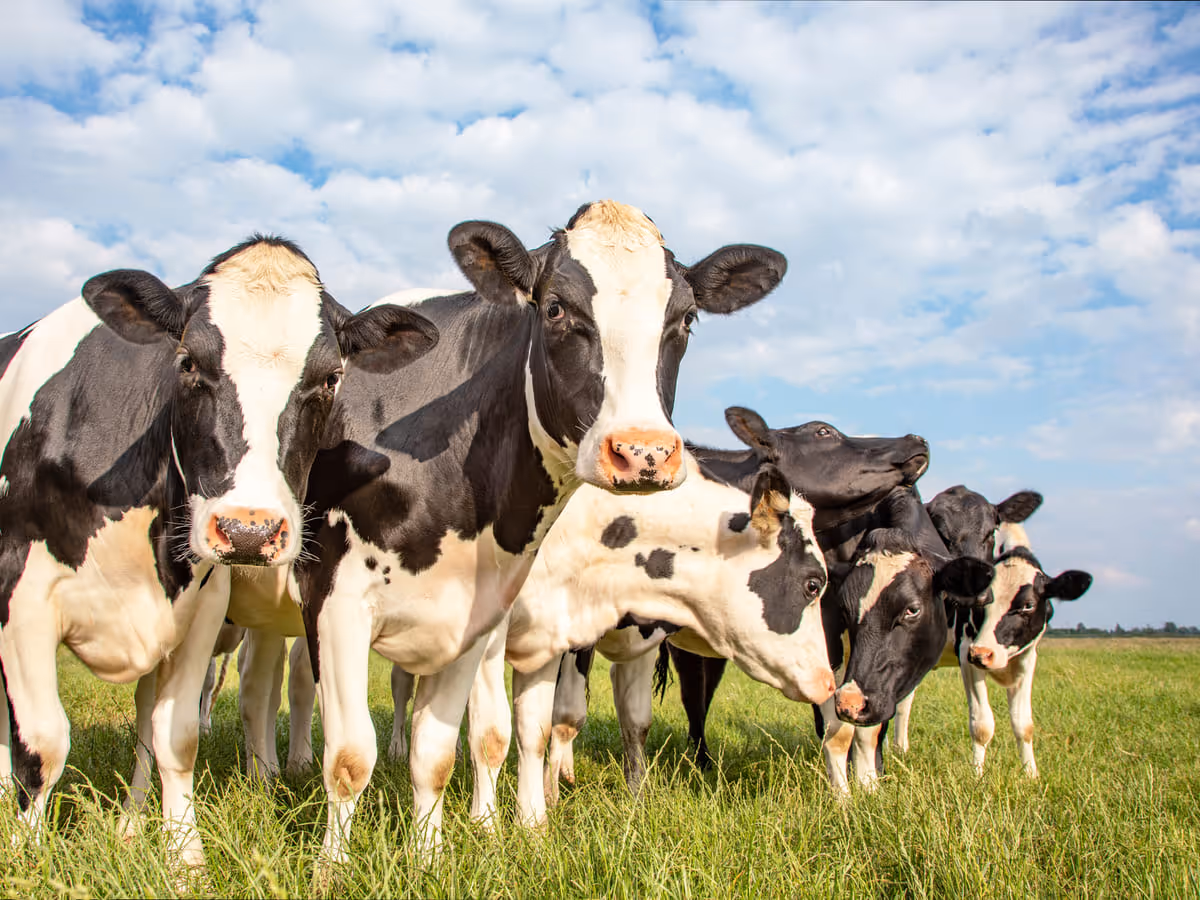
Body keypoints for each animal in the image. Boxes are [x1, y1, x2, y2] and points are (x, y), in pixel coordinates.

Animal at [0, 236, 439, 867]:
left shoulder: (198, 606)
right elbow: (41, 743)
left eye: (331, 378)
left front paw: (184, 860)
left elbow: (174, 736)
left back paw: (133, 819)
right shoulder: (22, 599)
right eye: (187, 363)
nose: (249, 532)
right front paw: (24, 857)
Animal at [203, 201, 786, 867]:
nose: (644, 452)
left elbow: (472, 741)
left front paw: (473, 843)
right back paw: (266, 774)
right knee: (256, 685)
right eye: (555, 308)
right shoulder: (335, 596)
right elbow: (355, 753)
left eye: (685, 318)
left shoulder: (483, 612)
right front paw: (334, 868)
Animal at [892, 486, 1092, 776]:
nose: (985, 653)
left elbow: (1024, 723)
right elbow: (982, 724)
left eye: (1028, 605)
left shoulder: (1027, 656)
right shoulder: (967, 652)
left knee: (903, 701)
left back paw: (899, 750)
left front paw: (1031, 774)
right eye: (940, 533)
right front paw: (977, 775)